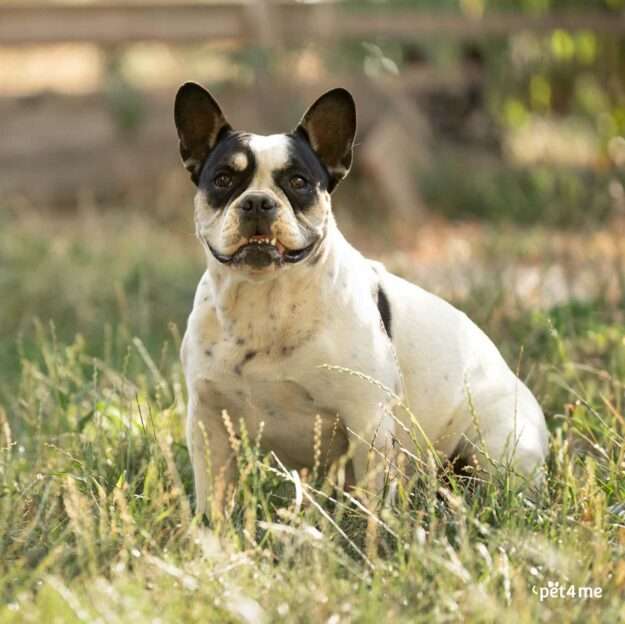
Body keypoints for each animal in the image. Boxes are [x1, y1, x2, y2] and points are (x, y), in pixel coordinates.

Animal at [174, 83, 544, 516]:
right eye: (222, 179)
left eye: (299, 182)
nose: (258, 202)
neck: (264, 300)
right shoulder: (207, 420)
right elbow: (212, 494)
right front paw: (209, 528)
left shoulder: (368, 421)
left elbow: (371, 498)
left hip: (496, 449)